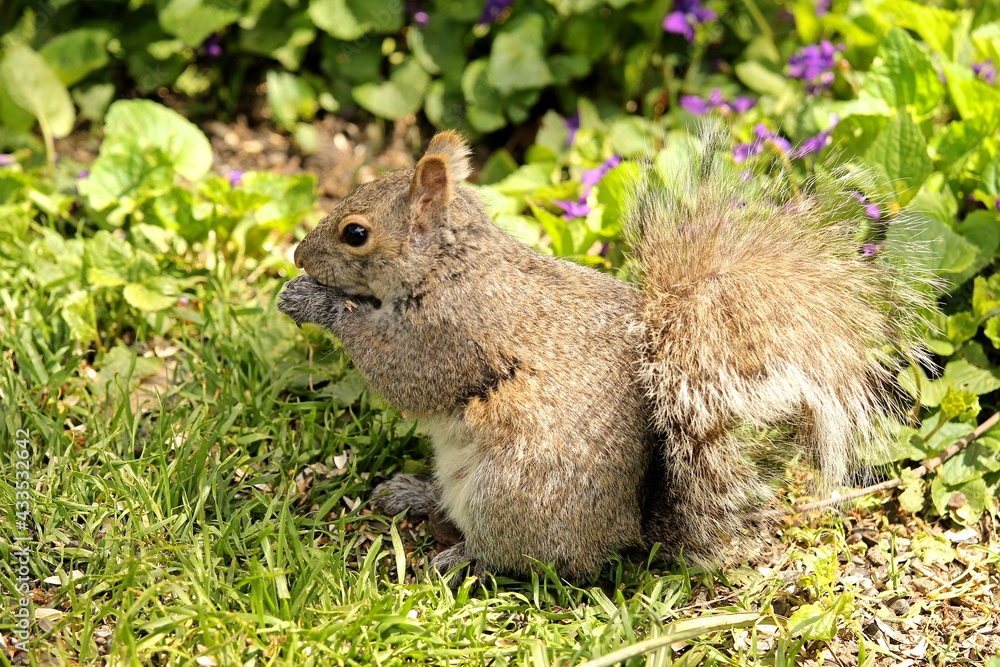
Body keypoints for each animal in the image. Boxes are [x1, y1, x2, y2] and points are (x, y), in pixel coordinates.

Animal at [277, 130, 929, 580]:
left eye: (356, 233)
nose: (298, 256)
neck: (451, 262)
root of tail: (624, 530)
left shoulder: (448, 332)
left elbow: (404, 374)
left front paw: (314, 302)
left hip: (509, 493)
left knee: (512, 557)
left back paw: (460, 557)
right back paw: (412, 493)